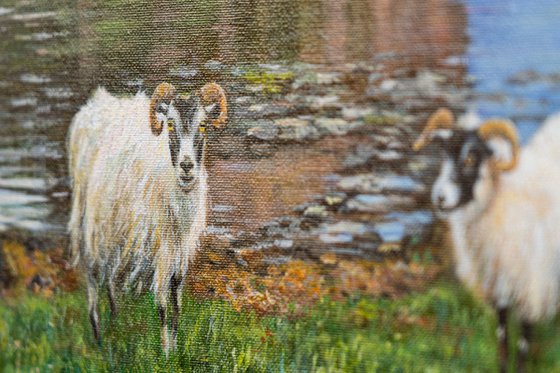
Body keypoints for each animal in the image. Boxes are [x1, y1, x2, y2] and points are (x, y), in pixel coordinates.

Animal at [67, 81, 228, 352]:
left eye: (203, 125)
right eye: (170, 124)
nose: (186, 166)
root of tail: (98, 103)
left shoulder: (180, 247)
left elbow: (176, 301)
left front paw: (174, 344)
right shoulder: (161, 246)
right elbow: (162, 302)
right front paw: (165, 351)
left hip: (116, 222)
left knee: (110, 269)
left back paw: (114, 315)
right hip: (89, 215)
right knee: (93, 272)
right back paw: (97, 333)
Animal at [414, 108, 560, 372]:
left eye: (471, 158)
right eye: (443, 155)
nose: (439, 198)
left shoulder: (532, 286)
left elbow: (524, 343)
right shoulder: (497, 285)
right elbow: (502, 337)